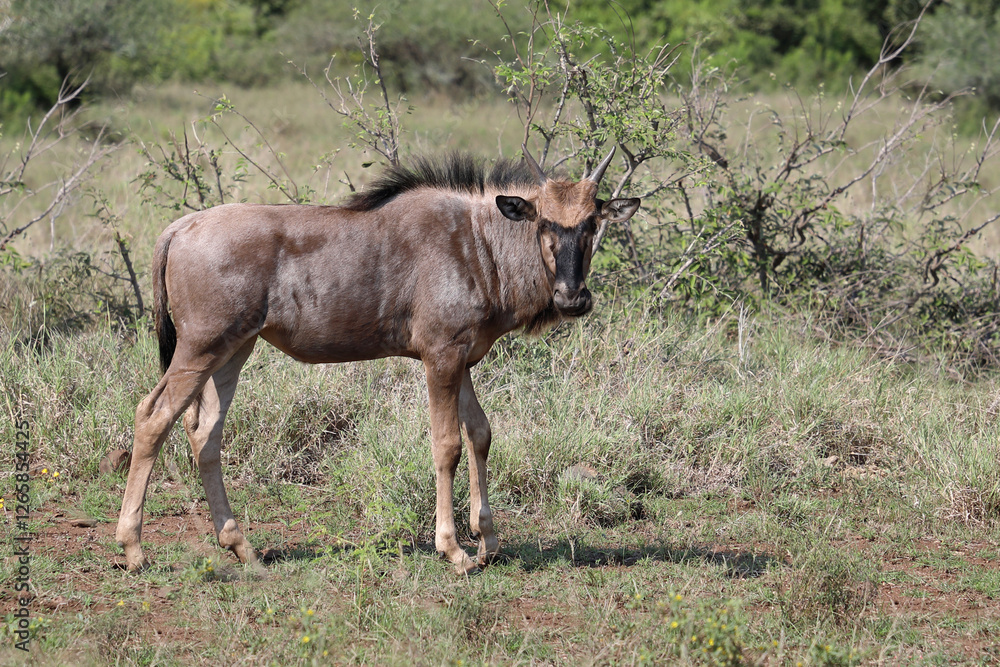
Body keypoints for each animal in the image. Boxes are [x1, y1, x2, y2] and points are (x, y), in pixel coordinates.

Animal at [115, 145, 640, 574]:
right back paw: (133, 548)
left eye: (592, 223)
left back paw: (240, 545)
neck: (481, 243)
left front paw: (488, 542)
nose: (572, 298)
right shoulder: (440, 356)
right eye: (544, 223)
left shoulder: (463, 359)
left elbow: (481, 434)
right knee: (153, 416)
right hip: (199, 349)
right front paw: (453, 549)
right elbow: (447, 444)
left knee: (205, 433)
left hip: (231, 352)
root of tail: (181, 227)